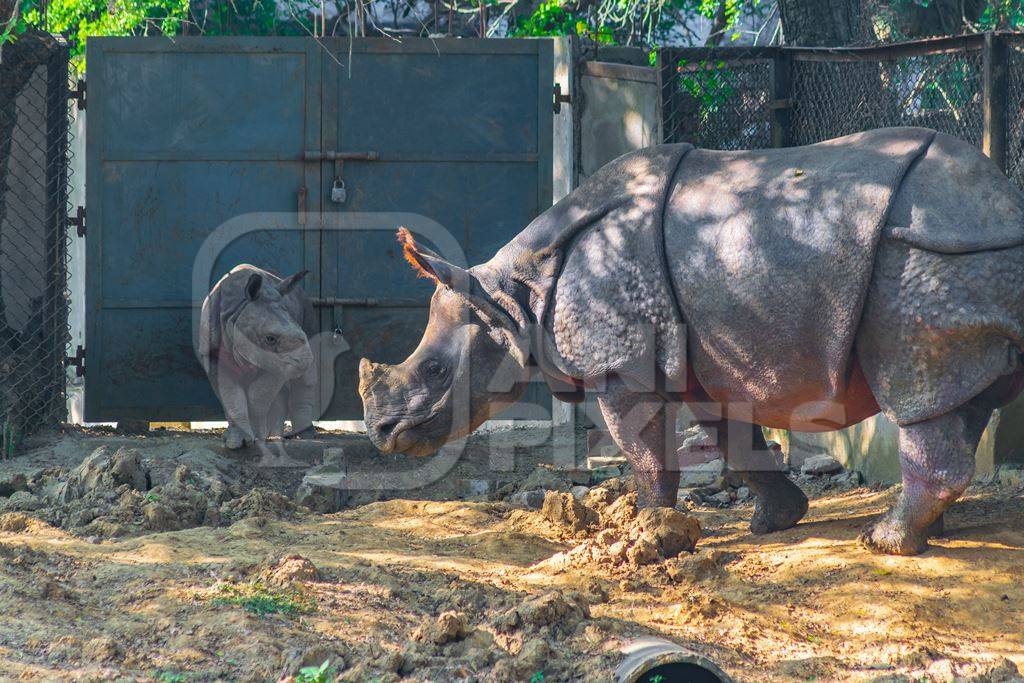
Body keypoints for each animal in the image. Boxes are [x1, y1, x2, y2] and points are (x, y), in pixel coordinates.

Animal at [197, 264, 313, 450]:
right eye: (270, 338)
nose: (304, 361)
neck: (237, 309)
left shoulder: (277, 361)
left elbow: (259, 394)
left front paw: (257, 437)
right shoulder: (211, 353)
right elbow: (231, 395)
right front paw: (236, 442)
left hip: (306, 306)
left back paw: (301, 435)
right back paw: (275, 435)